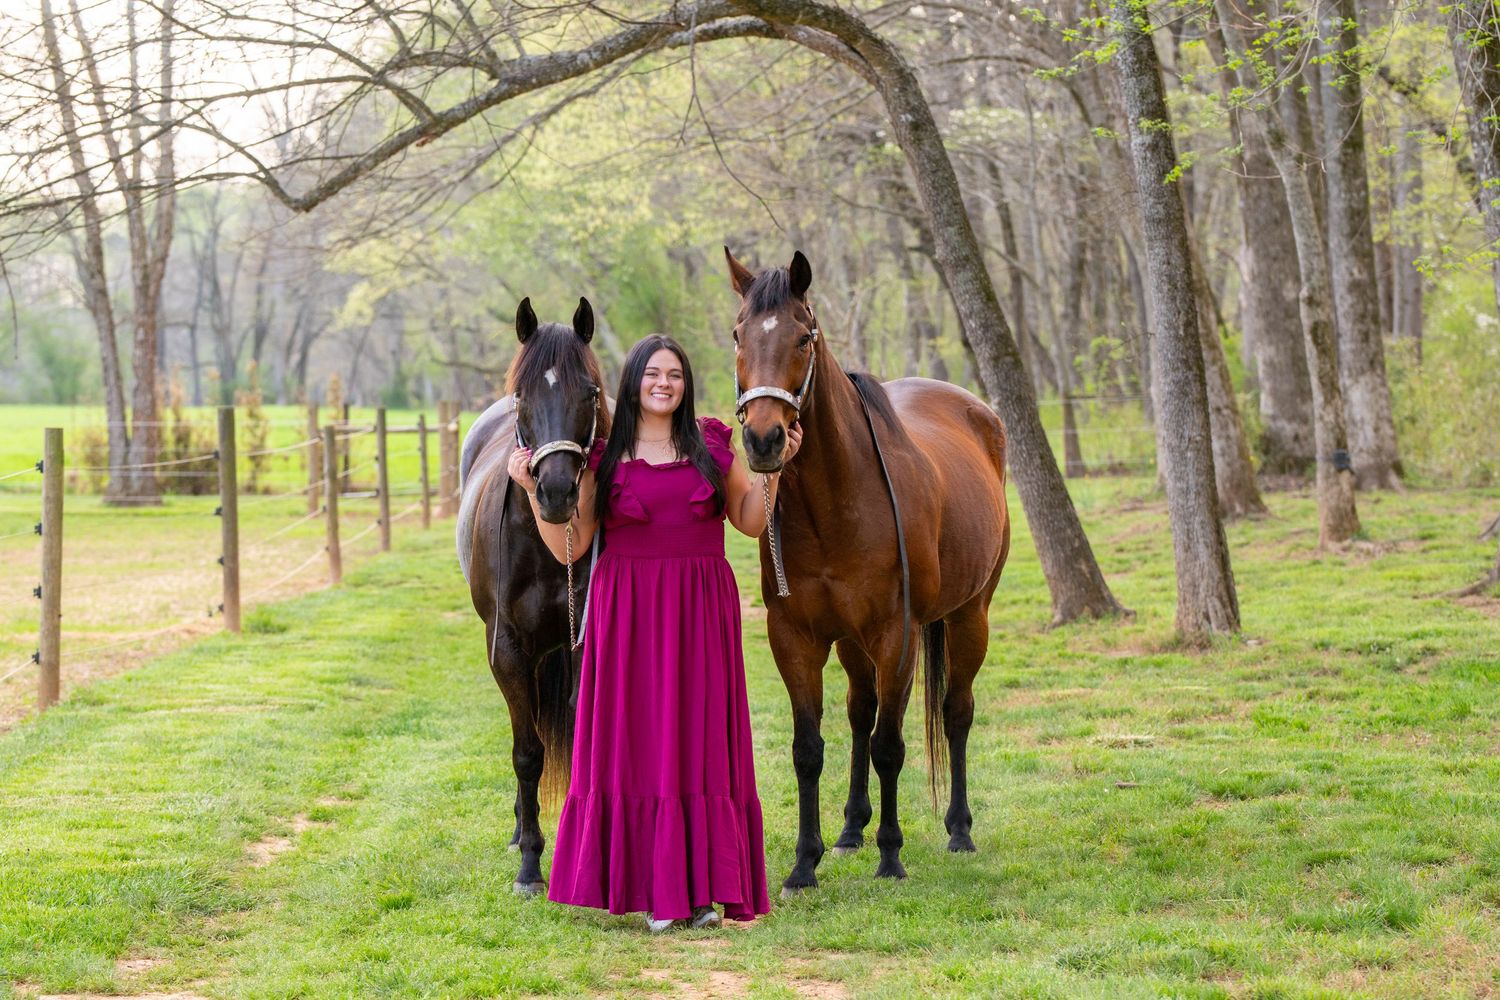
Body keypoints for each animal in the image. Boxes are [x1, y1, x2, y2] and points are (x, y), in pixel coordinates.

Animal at [456, 296, 610, 896]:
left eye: (589, 392)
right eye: (525, 394)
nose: (558, 492)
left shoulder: (582, 645)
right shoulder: (509, 652)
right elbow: (527, 754)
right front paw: (529, 863)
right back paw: (521, 830)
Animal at [724, 248, 1011, 895]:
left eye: (803, 337)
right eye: (738, 335)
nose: (763, 439)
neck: (836, 500)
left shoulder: (894, 637)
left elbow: (890, 745)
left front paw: (892, 855)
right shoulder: (796, 637)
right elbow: (810, 747)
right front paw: (804, 863)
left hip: (969, 617)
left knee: (955, 712)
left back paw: (959, 830)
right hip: (852, 642)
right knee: (859, 712)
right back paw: (852, 827)